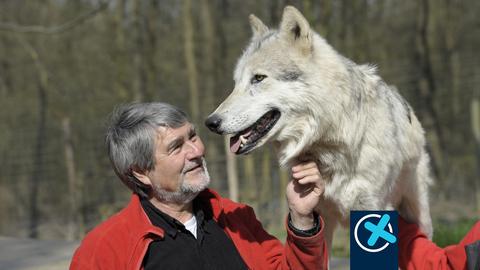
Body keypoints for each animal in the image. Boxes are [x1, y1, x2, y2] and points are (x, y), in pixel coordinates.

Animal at [204, 6, 434, 251]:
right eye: (236, 83)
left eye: (258, 78)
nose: (211, 122)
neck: (328, 146)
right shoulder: (318, 213)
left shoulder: (370, 209)